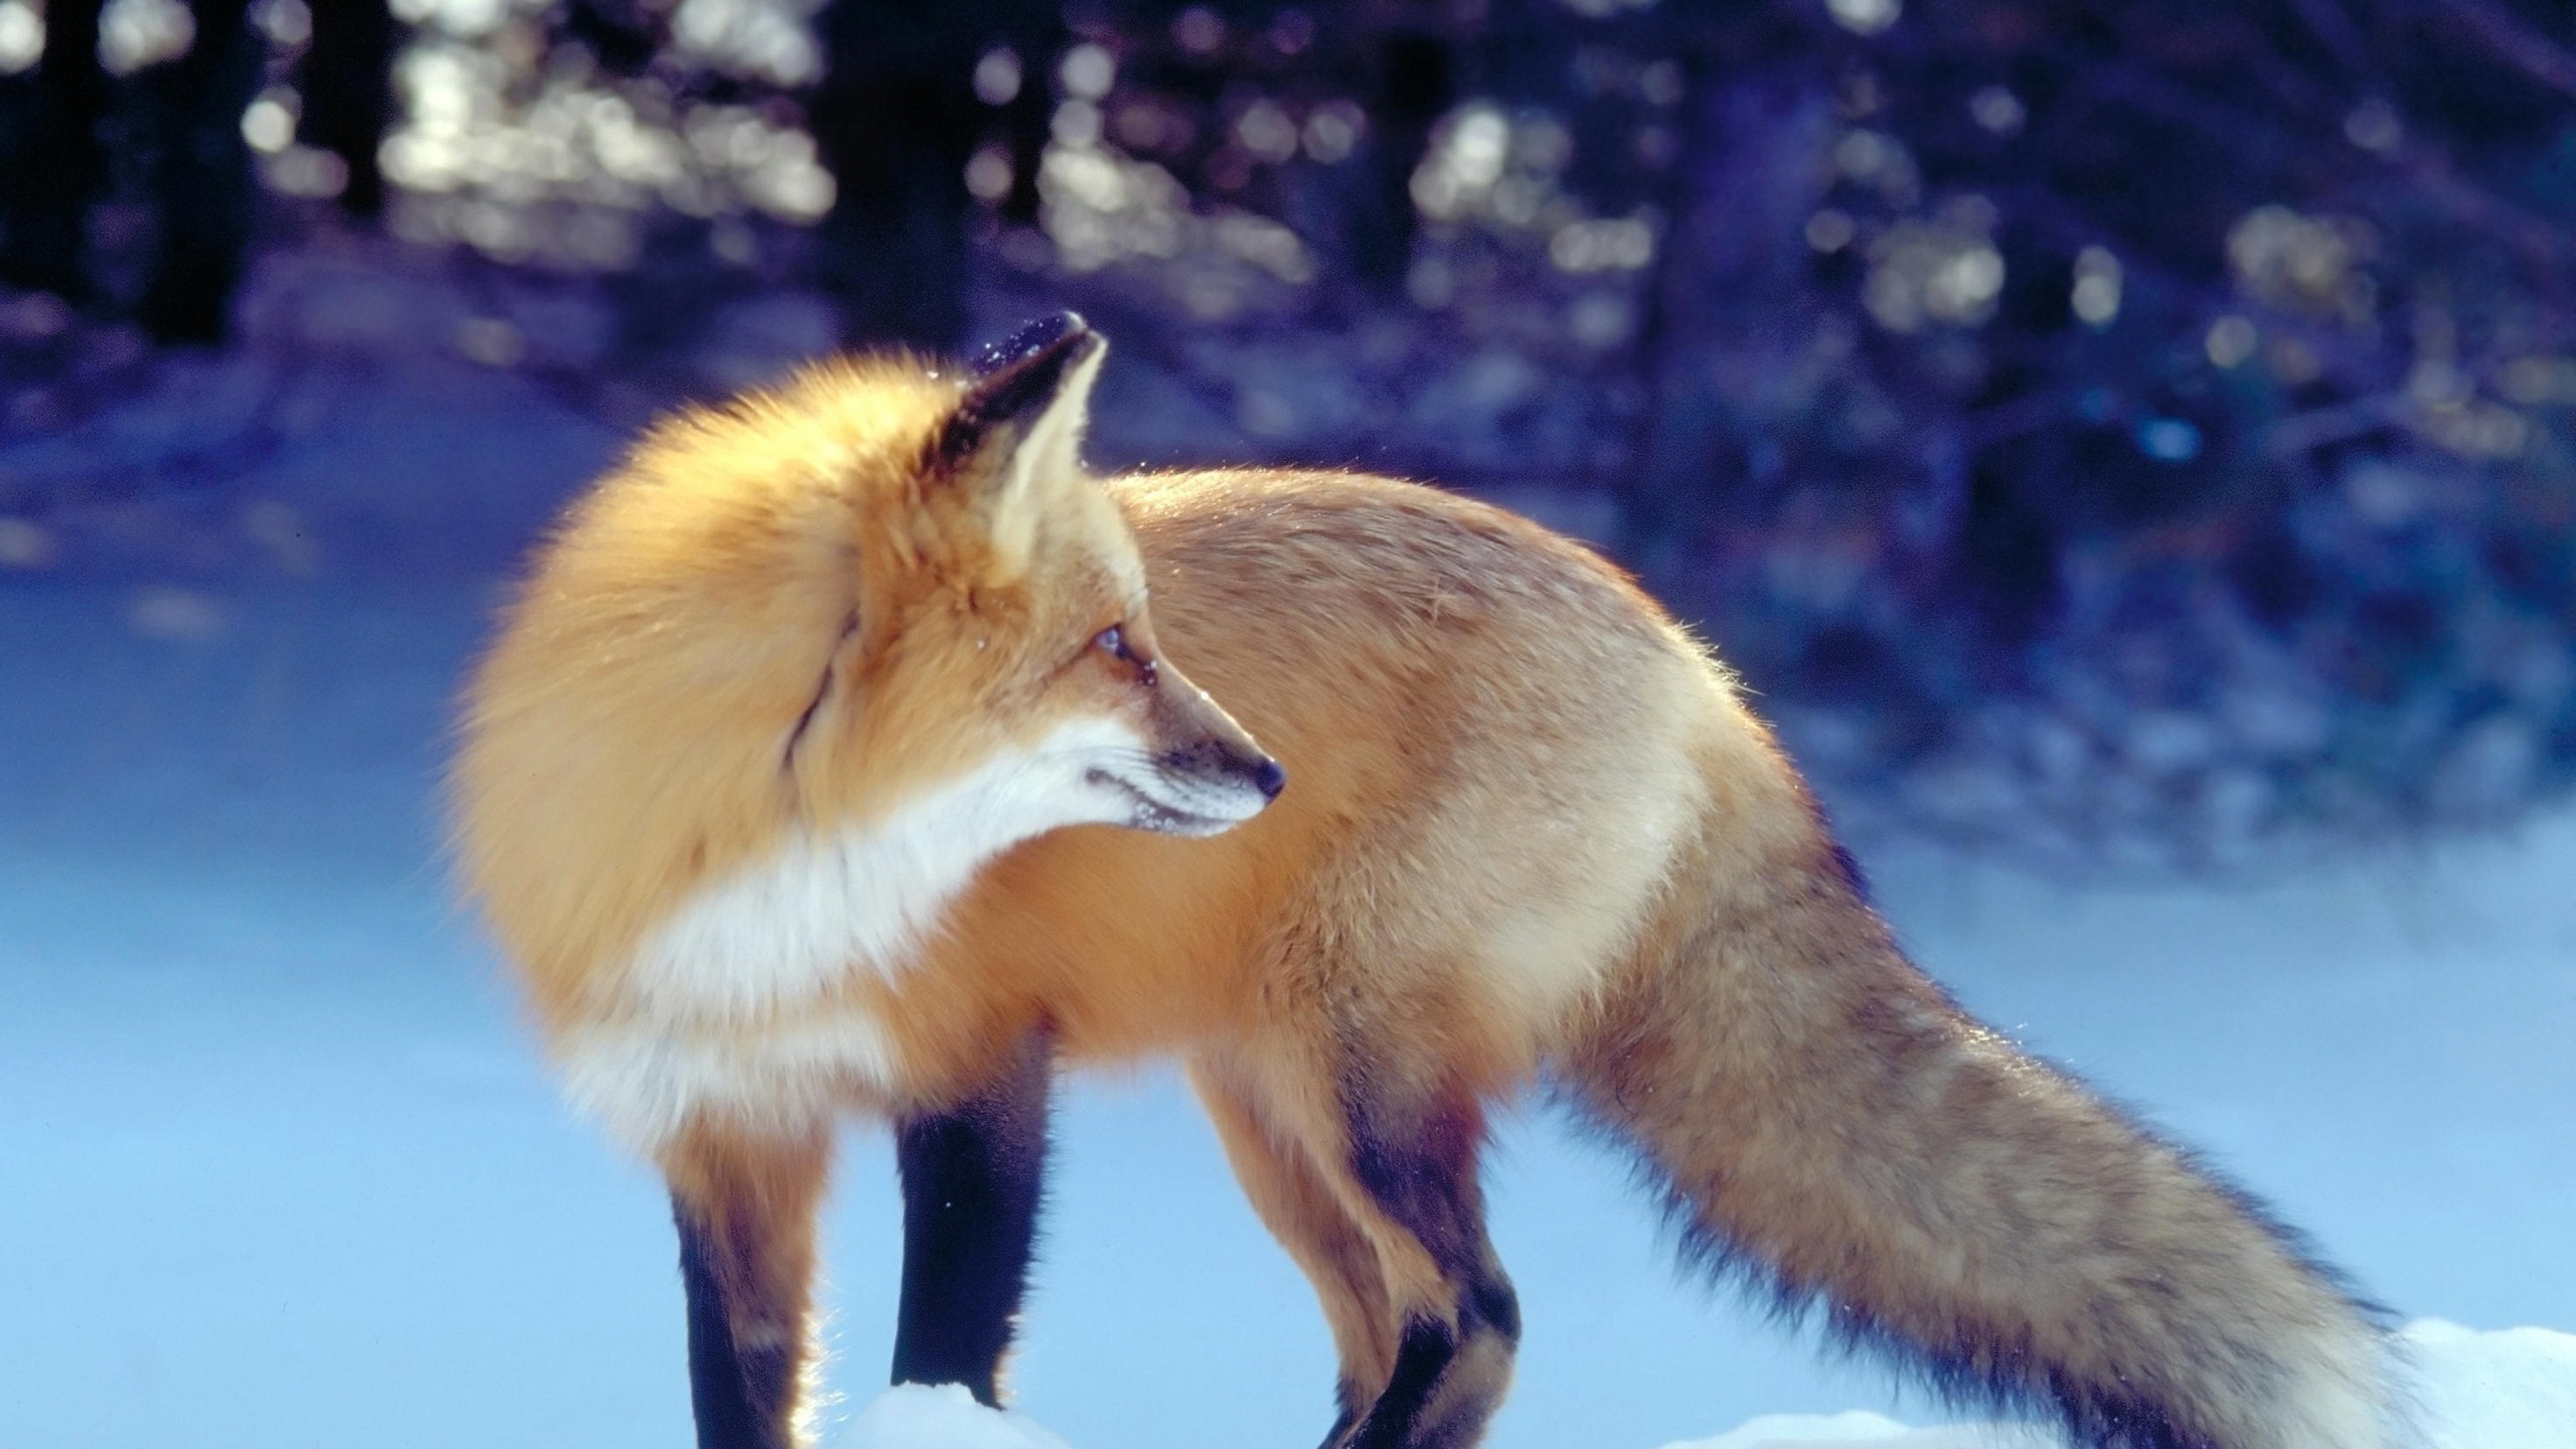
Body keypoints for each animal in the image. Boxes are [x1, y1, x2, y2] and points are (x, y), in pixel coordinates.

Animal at [449, 313, 2410, 1449]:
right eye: (1112, 649)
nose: (1263, 774)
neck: (768, 869)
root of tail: (1698, 665)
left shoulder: (981, 1075)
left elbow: (945, 1360)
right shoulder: (724, 1131)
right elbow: (742, 1395)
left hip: (1355, 1077)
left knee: (1478, 1323)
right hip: (1274, 1112)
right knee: (1396, 1330)